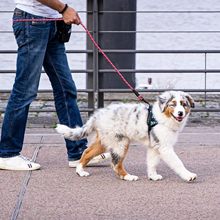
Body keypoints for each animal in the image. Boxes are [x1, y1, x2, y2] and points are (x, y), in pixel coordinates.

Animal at [55, 90, 197, 181]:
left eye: (184, 104)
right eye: (173, 104)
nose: (180, 113)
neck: (163, 117)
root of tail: (98, 115)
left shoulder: (155, 146)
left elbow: (152, 162)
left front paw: (152, 176)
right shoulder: (165, 147)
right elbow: (178, 162)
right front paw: (188, 175)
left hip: (105, 140)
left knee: (87, 152)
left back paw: (80, 171)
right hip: (120, 143)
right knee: (115, 164)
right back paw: (128, 176)